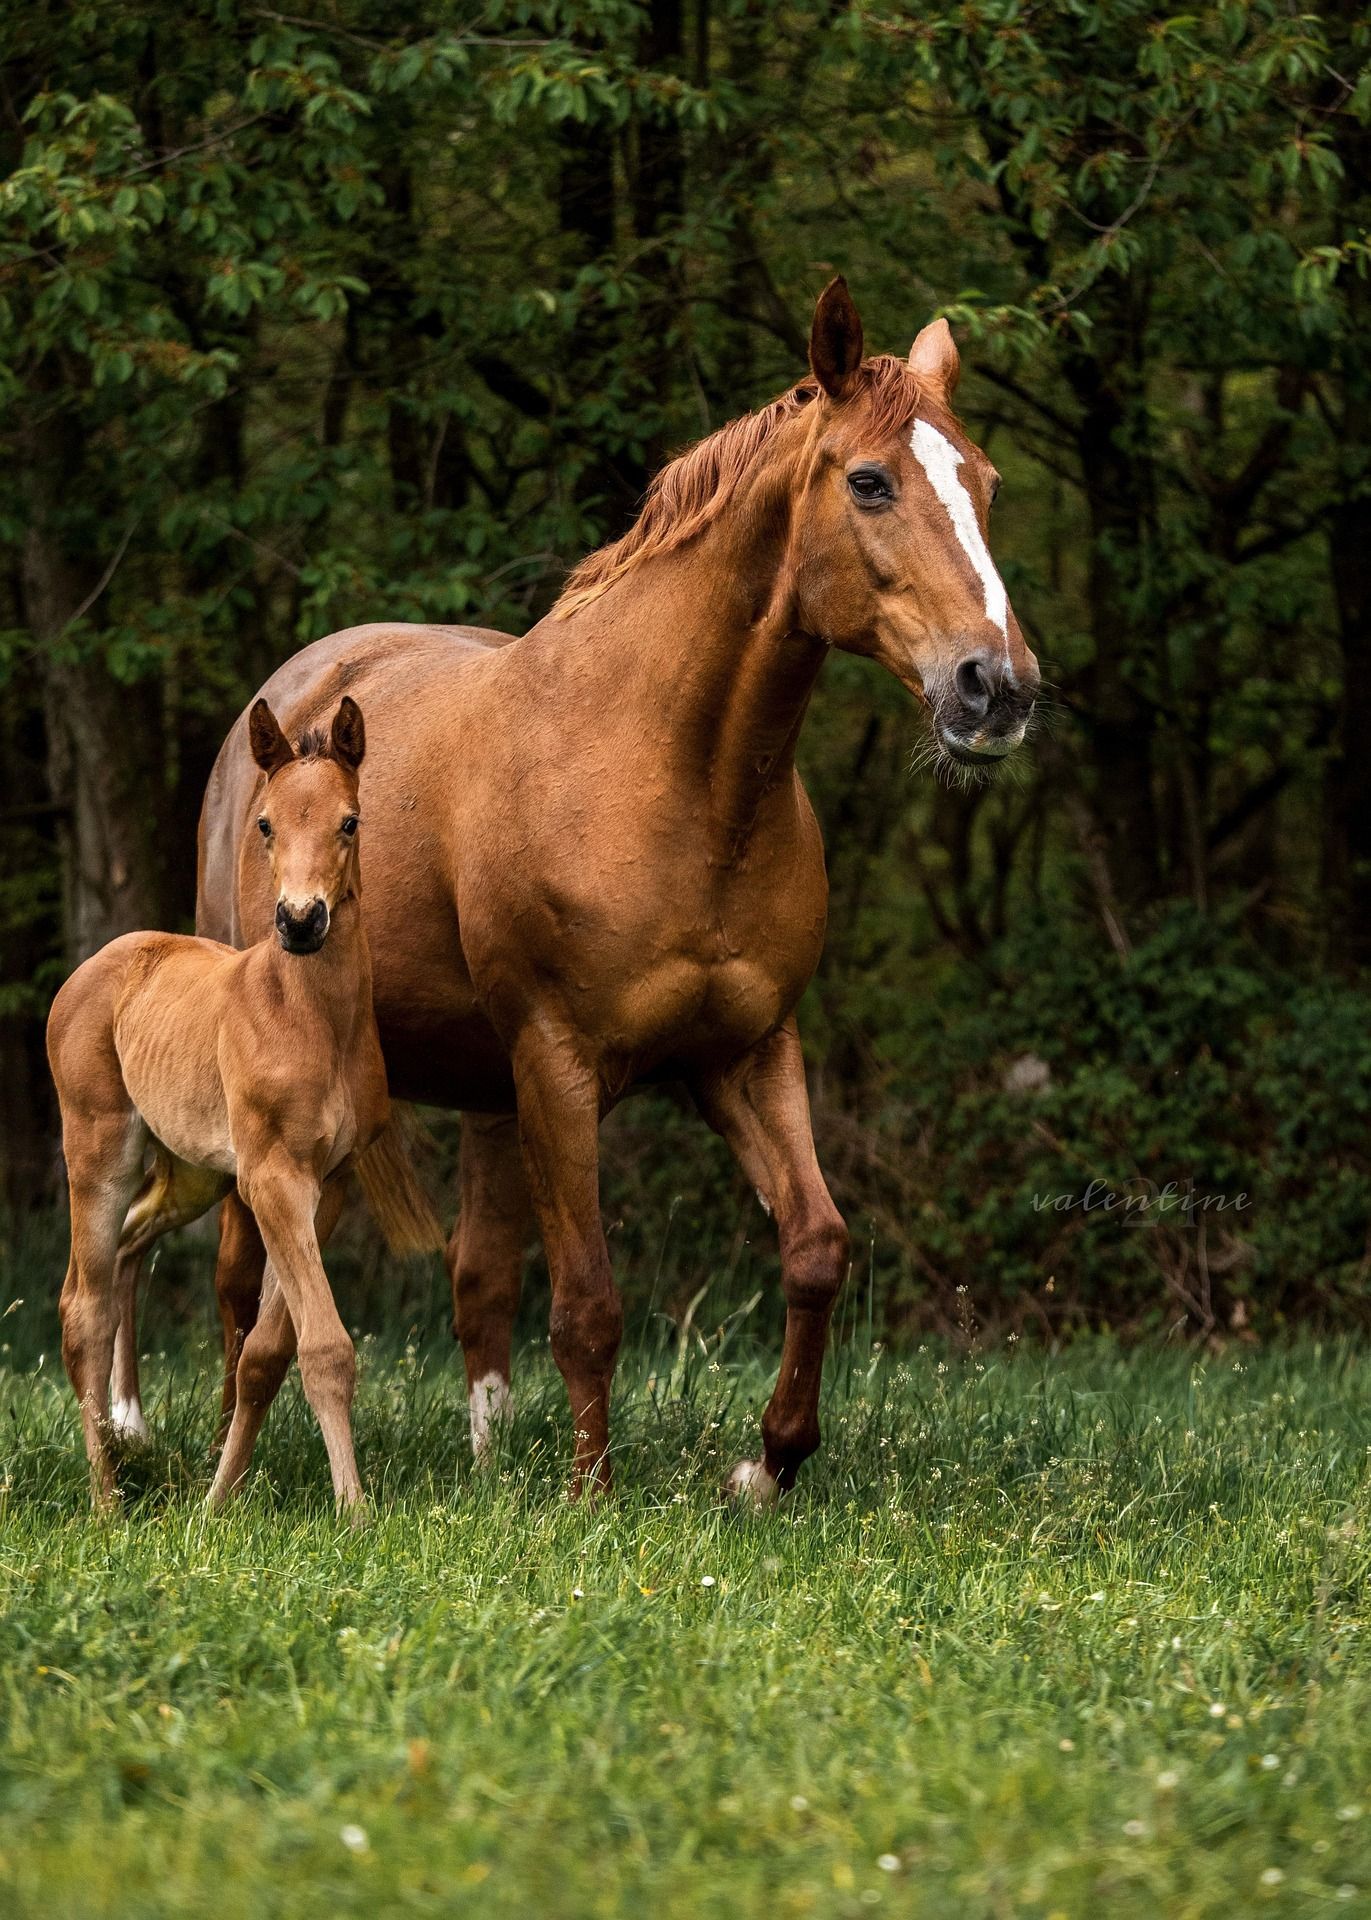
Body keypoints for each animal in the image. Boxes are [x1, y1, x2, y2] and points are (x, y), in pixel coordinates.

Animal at [47, 697, 441, 1510]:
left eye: (350, 821)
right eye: (264, 823)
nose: (300, 921)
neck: (314, 1020)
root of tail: (97, 963)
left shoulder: (326, 1186)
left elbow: (266, 1352)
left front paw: (216, 1501)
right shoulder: (273, 1179)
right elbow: (324, 1346)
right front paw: (357, 1513)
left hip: (192, 1174)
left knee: (129, 1246)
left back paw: (127, 1448)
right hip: (99, 1152)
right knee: (82, 1308)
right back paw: (106, 1501)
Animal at [147, 277, 1038, 1502]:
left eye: (986, 485)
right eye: (869, 481)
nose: (995, 687)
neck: (674, 772)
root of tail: (289, 703)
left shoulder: (746, 1052)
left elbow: (816, 1247)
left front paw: (769, 1463)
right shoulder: (558, 1066)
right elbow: (588, 1304)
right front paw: (589, 1498)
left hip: (485, 1096)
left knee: (475, 1279)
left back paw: (481, 1466)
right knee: (244, 1284)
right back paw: (224, 1466)